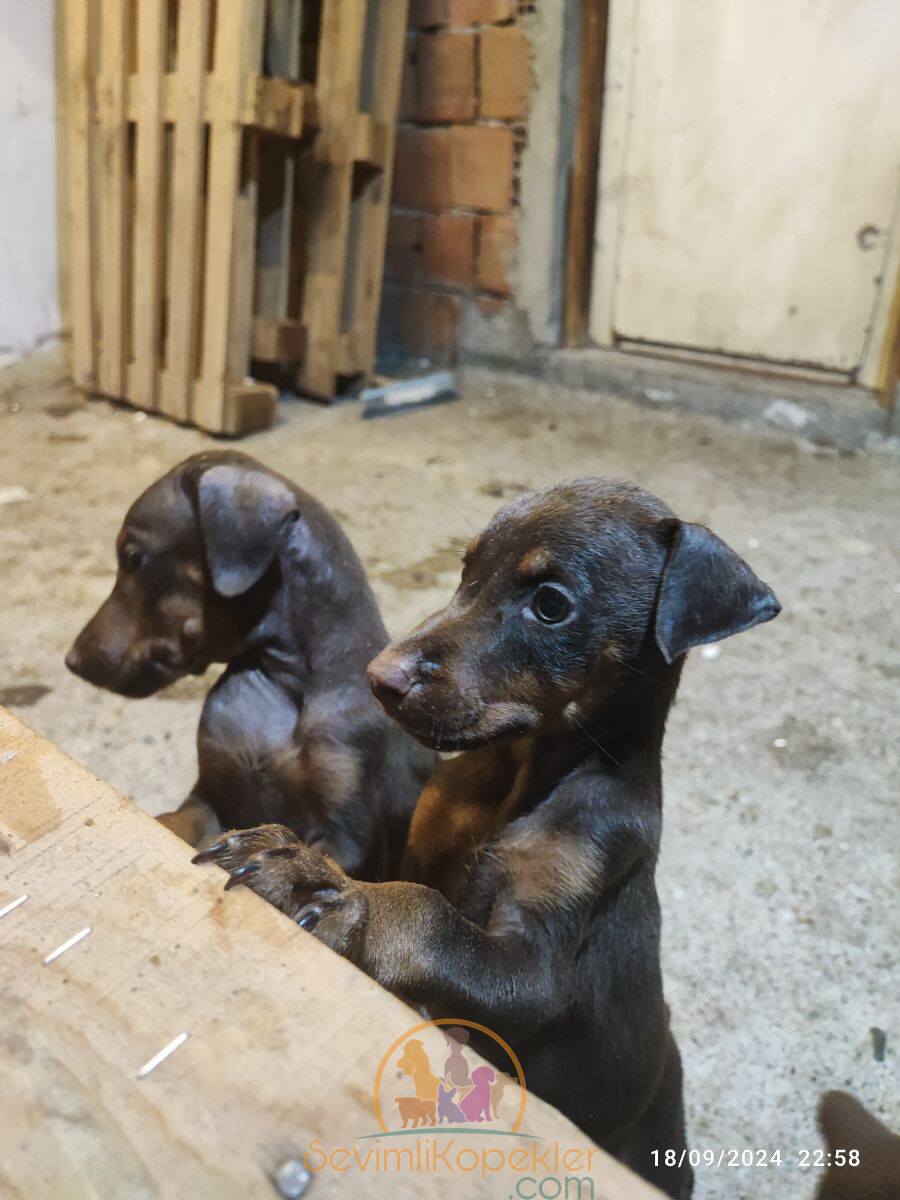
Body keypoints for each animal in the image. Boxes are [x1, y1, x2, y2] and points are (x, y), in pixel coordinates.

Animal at [66, 453, 434, 878]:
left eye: (133, 557)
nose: (73, 660)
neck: (286, 681)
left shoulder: (352, 834)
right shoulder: (209, 793)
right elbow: (177, 821)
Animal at [195, 475, 782, 1190]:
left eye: (551, 604)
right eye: (465, 572)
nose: (379, 678)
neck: (518, 778)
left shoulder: (539, 961)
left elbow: (429, 918)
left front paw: (329, 893)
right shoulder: (423, 845)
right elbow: (410, 884)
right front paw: (313, 863)